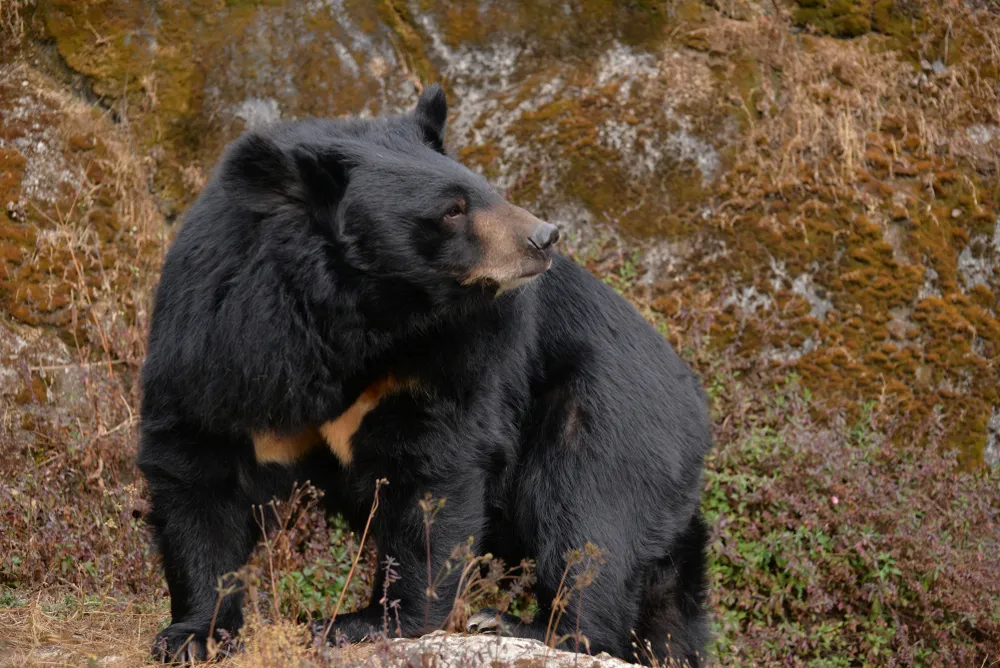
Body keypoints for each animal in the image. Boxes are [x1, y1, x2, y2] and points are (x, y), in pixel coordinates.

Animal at [139, 85, 712, 664]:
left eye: (487, 191)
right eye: (452, 209)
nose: (545, 237)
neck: (358, 318)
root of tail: (695, 398)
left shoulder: (454, 351)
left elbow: (433, 474)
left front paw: (365, 621)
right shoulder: (217, 341)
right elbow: (199, 470)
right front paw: (193, 634)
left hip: (612, 415)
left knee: (587, 515)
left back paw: (524, 626)